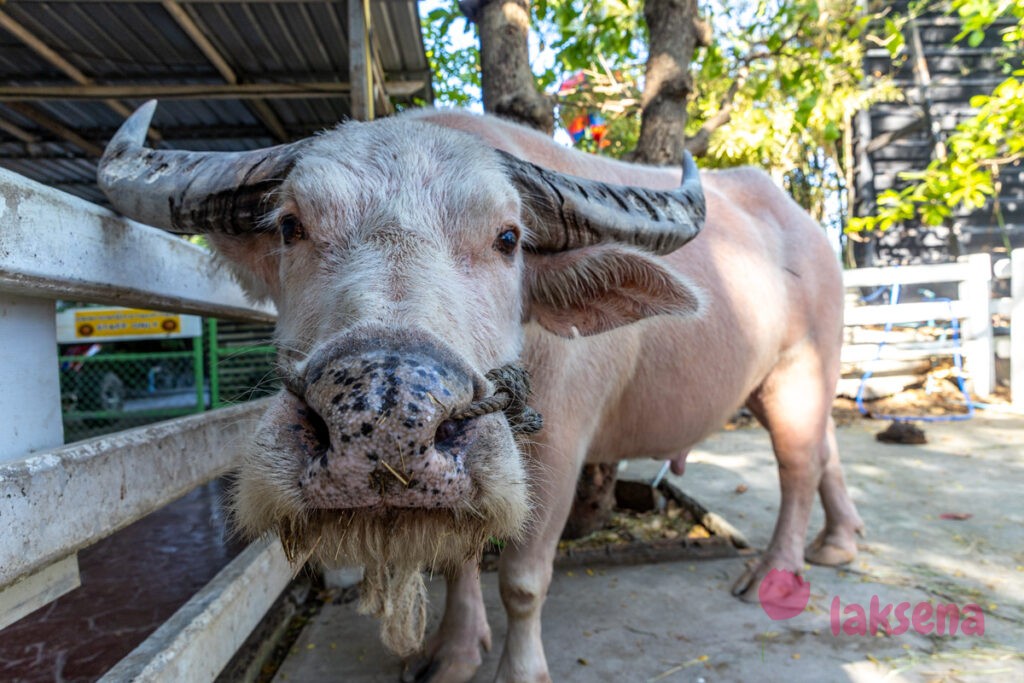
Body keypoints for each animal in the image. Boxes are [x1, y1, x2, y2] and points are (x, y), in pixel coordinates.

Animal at [97, 102, 864, 683]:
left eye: (508, 237)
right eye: (290, 226)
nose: (385, 415)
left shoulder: (557, 447)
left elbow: (521, 578)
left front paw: (519, 670)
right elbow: (460, 559)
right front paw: (454, 654)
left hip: (801, 370)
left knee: (797, 465)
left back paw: (776, 574)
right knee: (827, 450)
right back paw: (840, 544)